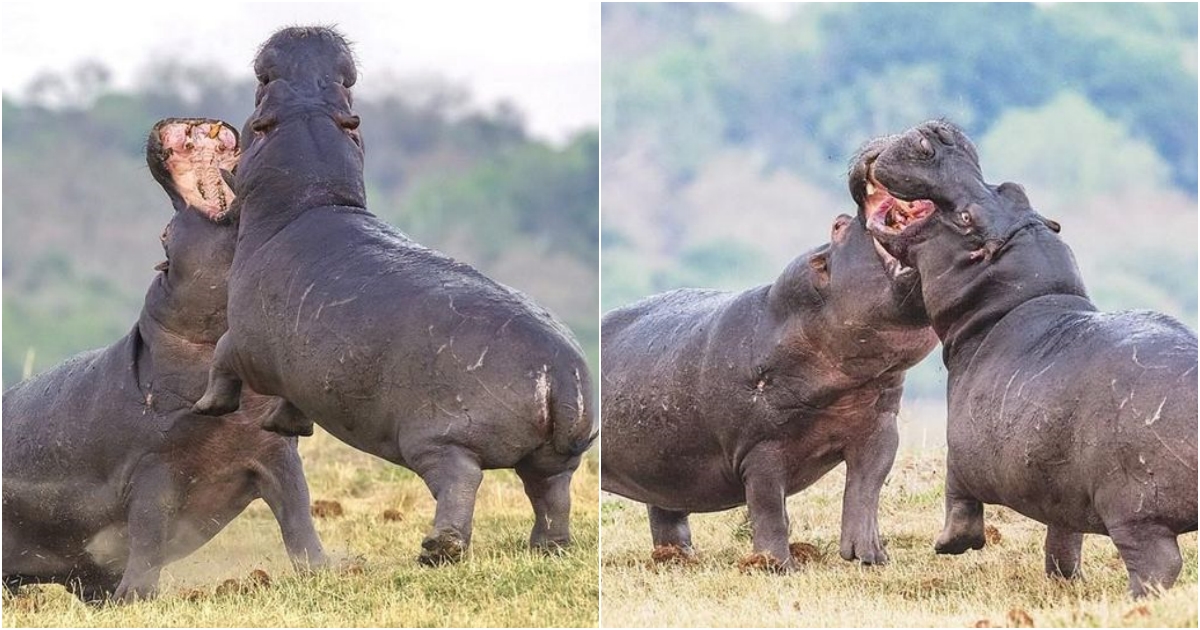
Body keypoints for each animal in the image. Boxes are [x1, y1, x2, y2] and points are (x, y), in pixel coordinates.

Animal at [2, 117, 326, 604]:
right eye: (165, 235)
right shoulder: (153, 468)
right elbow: (149, 532)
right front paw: (134, 597)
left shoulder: (276, 451)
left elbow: (298, 517)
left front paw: (333, 570)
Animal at [190, 27, 595, 561]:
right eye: (346, 88)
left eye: (260, 98)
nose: (305, 34)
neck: (311, 191)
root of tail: (562, 373)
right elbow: (293, 400)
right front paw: (282, 425)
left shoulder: (246, 342)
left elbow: (221, 356)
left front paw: (205, 408)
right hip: (554, 456)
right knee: (551, 492)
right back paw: (548, 548)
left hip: (439, 441)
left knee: (461, 483)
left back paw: (437, 550)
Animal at [600, 208, 936, 566]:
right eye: (839, 225)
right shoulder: (760, 449)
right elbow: (769, 508)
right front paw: (777, 565)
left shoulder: (880, 427)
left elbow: (866, 488)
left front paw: (871, 557)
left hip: (666, 465)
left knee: (666, 512)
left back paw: (678, 557)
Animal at [864, 120, 1200, 597]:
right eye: (1013, 188)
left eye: (966, 218)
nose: (937, 133)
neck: (1014, 298)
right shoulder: (1063, 489)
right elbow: (1063, 536)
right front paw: (1064, 578)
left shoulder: (961, 450)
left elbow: (956, 493)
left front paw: (948, 545)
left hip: (1135, 514)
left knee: (1157, 564)